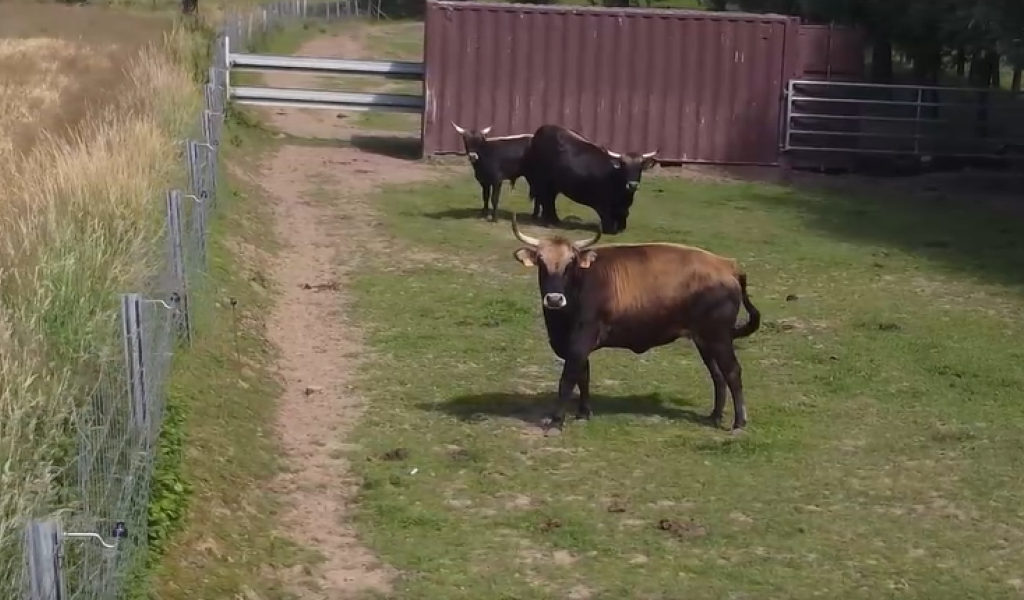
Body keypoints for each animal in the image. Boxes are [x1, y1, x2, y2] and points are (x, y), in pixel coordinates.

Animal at [509, 213, 761, 430]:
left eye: (570, 262)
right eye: (541, 262)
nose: (554, 299)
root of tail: (726, 264)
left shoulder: (581, 340)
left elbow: (568, 380)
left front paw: (556, 421)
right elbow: (583, 376)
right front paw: (584, 413)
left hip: (719, 337)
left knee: (732, 372)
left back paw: (739, 422)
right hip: (704, 340)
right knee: (717, 375)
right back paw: (715, 416)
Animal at [520, 124, 655, 234]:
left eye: (640, 167)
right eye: (624, 165)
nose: (632, 185)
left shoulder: (623, 210)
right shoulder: (604, 208)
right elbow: (610, 228)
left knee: (548, 199)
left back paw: (553, 220)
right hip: (542, 180)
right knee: (545, 199)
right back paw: (549, 221)